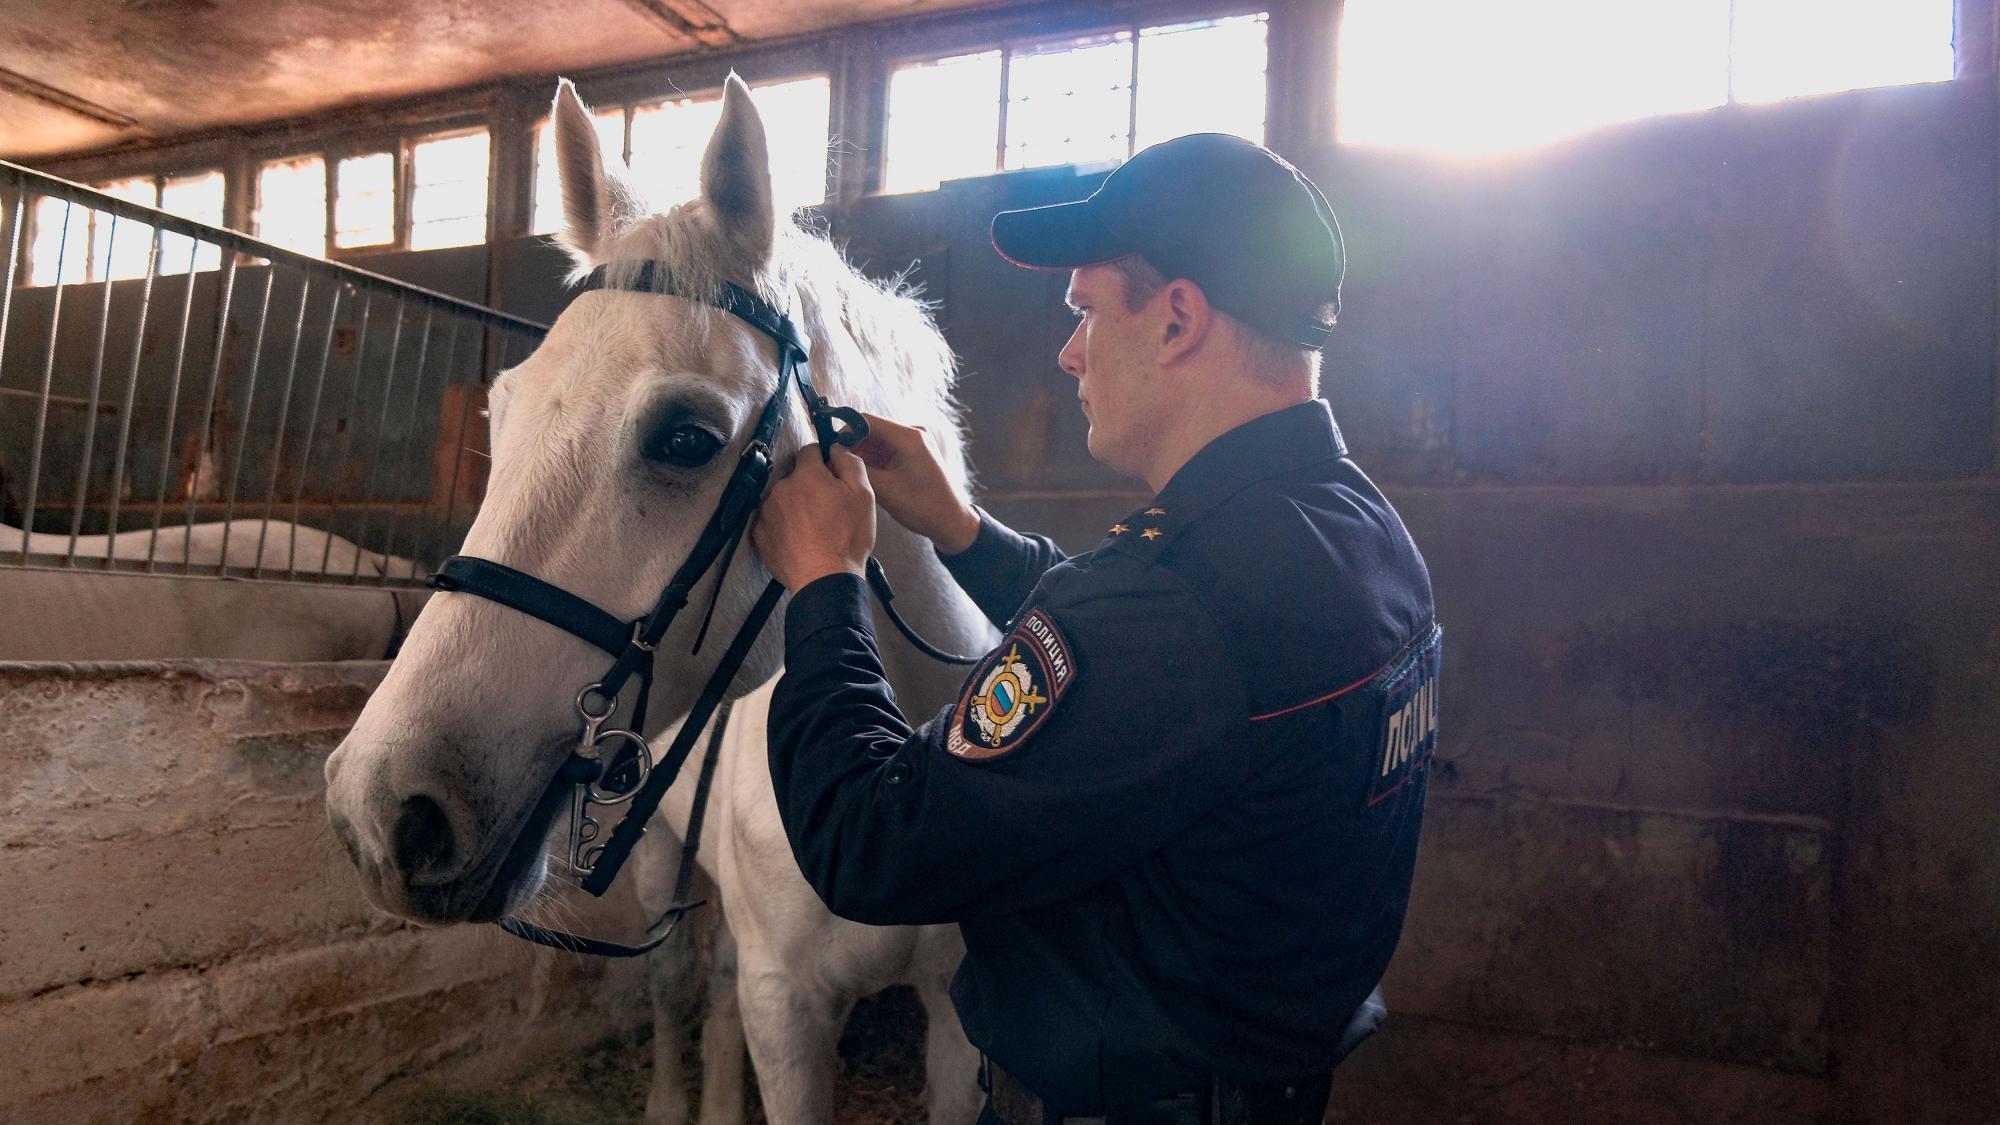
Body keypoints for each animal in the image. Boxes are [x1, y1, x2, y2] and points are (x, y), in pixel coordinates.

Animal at [326, 74, 1000, 1112]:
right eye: (501, 412)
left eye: (685, 437)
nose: (381, 813)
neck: (896, 776)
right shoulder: (786, 1005)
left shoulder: (955, 1023)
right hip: (652, 864)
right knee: (679, 979)